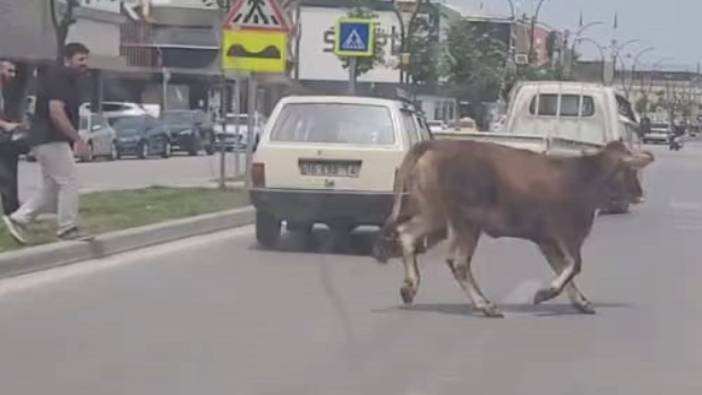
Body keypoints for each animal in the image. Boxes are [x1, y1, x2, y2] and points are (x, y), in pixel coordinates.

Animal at [374, 139, 656, 318]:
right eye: (630, 170)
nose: (640, 193)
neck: (584, 178)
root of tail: (435, 144)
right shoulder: (567, 235)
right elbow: (574, 266)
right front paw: (544, 293)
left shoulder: (547, 240)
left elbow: (564, 270)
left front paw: (581, 302)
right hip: (466, 222)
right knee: (458, 261)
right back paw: (485, 306)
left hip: (436, 215)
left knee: (407, 234)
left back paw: (409, 287)